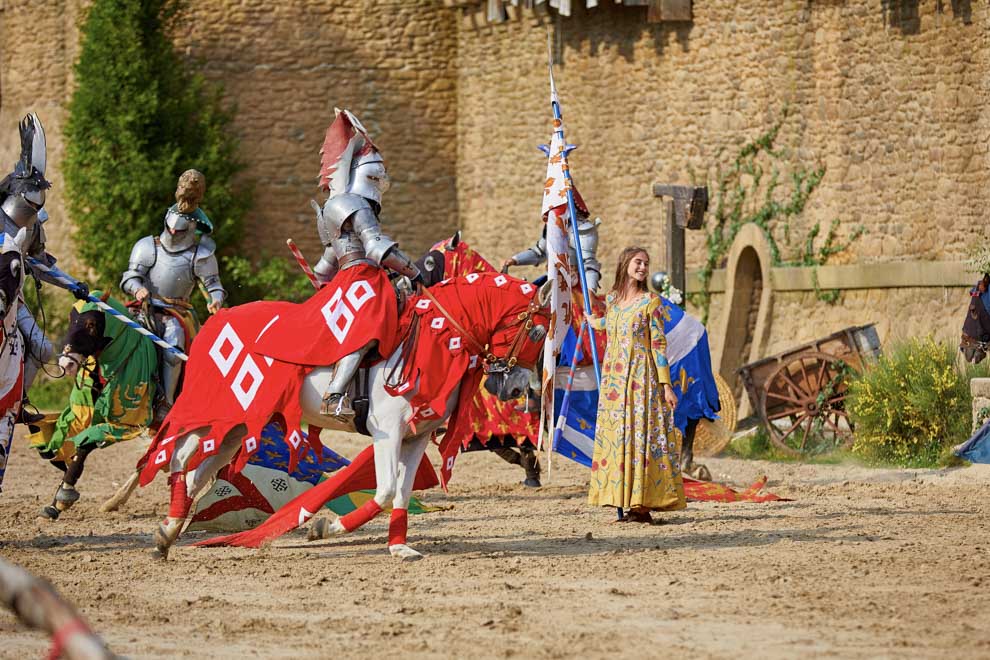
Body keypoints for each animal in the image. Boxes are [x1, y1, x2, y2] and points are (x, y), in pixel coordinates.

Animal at [138, 270, 552, 560]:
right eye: (536, 331)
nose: (516, 389)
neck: (435, 341)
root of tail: (215, 322)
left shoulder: (415, 437)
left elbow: (402, 494)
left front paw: (399, 547)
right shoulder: (388, 432)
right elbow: (385, 491)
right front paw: (324, 526)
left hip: (237, 428)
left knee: (197, 474)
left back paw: (167, 534)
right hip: (215, 415)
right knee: (179, 458)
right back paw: (168, 530)